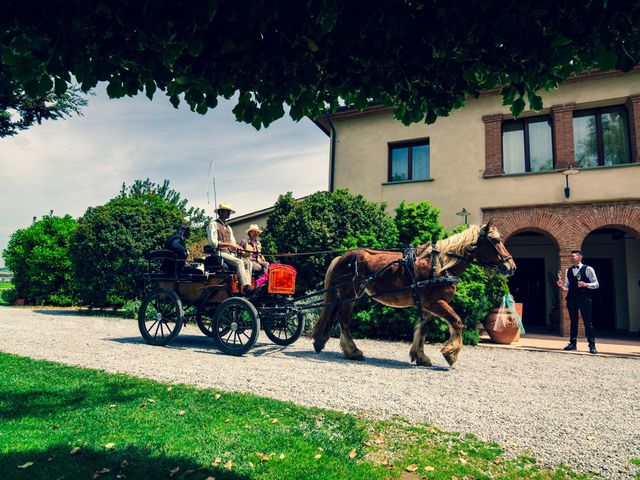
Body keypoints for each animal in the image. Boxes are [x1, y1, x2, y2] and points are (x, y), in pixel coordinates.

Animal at [312, 222, 516, 368]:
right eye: (495, 241)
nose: (511, 267)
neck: (441, 265)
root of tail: (343, 256)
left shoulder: (429, 306)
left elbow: (423, 328)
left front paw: (420, 356)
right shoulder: (435, 302)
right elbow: (457, 321)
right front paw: (451, 353)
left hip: (345, 295)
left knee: (335, 316)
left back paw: (322, 342)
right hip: (349, 294)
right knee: (344, 320)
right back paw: (353, 351)